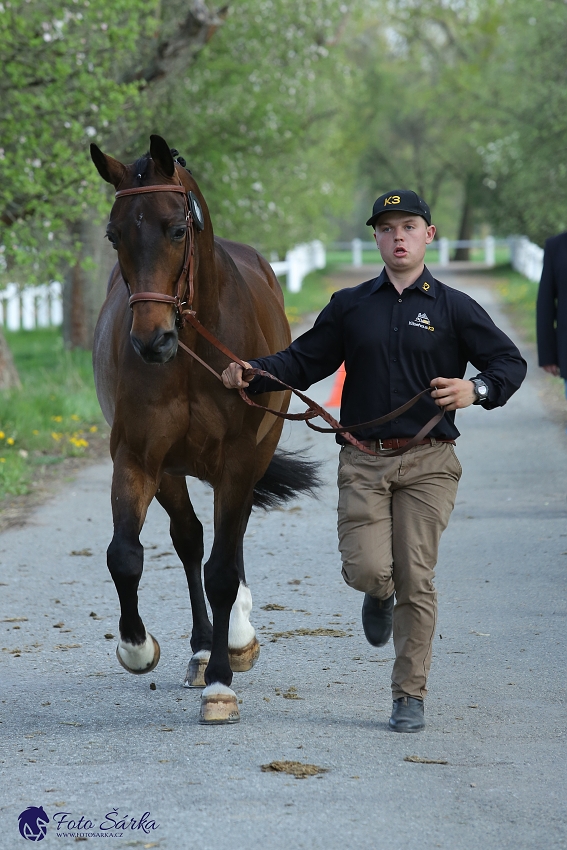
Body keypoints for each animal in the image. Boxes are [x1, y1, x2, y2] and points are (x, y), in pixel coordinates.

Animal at [91, 132, 318, 724]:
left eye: (177, 228)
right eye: (114, 234)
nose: (151, 341)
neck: (194, 355)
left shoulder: (239, 460)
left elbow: (221, 569)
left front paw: (221, 682)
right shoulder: (139, 458)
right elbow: (126, 555)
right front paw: (138, 647)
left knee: (226, 546)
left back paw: (233, 639)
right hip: (174, 473)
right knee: (192, 540)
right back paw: (200, 649)